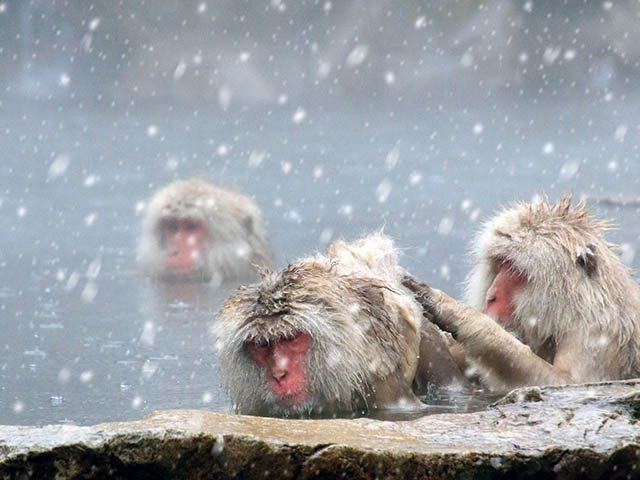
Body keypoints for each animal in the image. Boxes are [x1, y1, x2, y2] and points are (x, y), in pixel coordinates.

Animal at [402, 196, 640, 394]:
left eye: (514, 269)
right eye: (500, 263)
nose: (491, 296)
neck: (566, 312)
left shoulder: (598, 330)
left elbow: (568, 382)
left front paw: (459, 314)